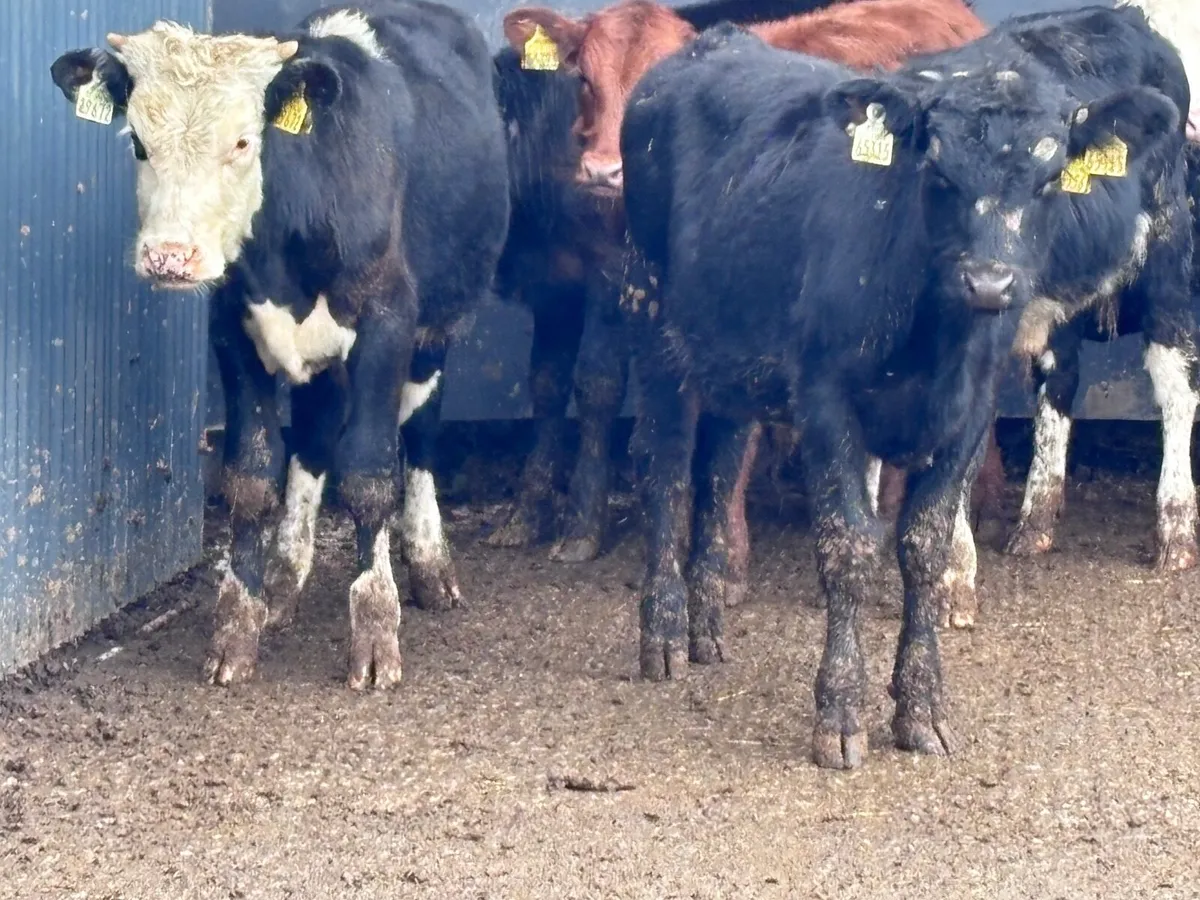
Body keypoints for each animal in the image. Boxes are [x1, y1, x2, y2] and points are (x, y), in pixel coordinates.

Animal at [49, 1, 511, 689]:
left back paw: (429, 564)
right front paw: (237, 626)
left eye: (244, 142)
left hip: (443, 322)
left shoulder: (388, 322)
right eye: (138, 142)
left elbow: (369, 474)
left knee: (421, 432)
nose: (170, 256)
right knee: (314, 435)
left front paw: (376, 630)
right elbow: (250, 477)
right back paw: (284, 579)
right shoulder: (233, 331)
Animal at [487, 0, 848, 565]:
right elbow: (546, 386)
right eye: (584, 79)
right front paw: (525, 514)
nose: (604, 171)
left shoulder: (614, 281)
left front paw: (583, 524)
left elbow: (597, 385)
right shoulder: (557, 289)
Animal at [617, 22, 1180, 767]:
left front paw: (922, 707)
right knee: (667, 468)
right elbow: (850, 545)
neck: (932, 338)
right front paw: (839, 713)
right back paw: (664, 631)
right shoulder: (824, 400)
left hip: (733, 350)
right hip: (651, 316)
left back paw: (708, 623)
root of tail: (712, 42)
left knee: (718, 466)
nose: (991, 281)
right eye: (938, 171)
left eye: (1050, 177)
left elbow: (925, 545)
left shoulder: (972, 410)